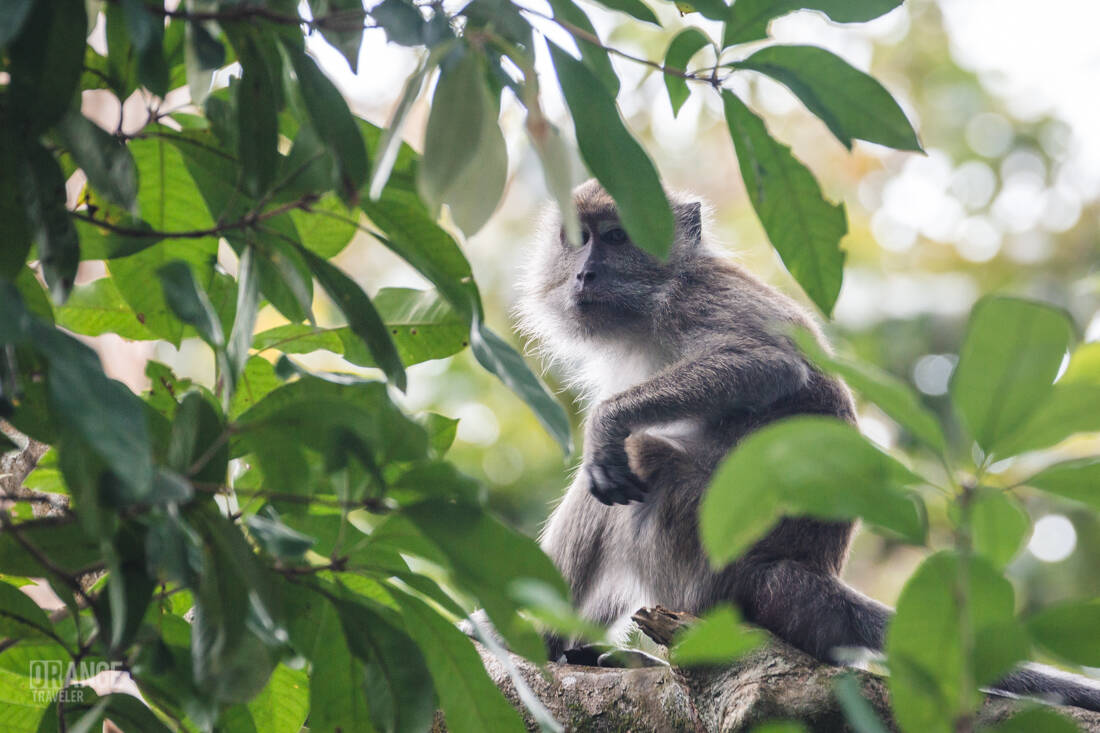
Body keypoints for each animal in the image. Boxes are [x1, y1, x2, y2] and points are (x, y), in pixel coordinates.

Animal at [512, 179, 1100, 712]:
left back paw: (537, 638)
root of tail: (807, 578)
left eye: (616, 237)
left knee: (638, 467)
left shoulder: (696, 301)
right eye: (579, 239)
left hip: (709, 566)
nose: (584, 272)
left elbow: (767, 364)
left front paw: (607, 422)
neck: (653, 299)